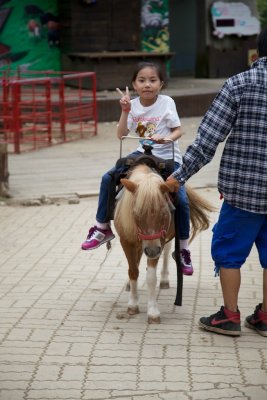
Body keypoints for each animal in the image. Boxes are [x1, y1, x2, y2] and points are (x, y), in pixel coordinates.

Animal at [114, 164, 215, 324]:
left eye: (163, 213)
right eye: (136, 213)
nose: (152, 251)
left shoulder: (158, 242)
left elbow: (151, 278)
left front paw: (153, 312)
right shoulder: (126, 241)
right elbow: (133, 271)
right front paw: (133, 304)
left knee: (166, 252)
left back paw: (165, 278)